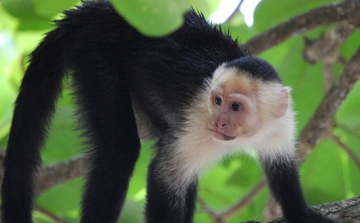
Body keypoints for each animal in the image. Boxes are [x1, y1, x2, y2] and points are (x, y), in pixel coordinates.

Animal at [1, 1, 338, 223]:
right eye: (217, 101)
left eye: (236, 107)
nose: (219, 122)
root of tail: (97, 10)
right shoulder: (200, 123)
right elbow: (164, 174)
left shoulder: (280, 124)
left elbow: (281, 170)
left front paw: (302, 214)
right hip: (95, 55)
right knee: (120, 151)